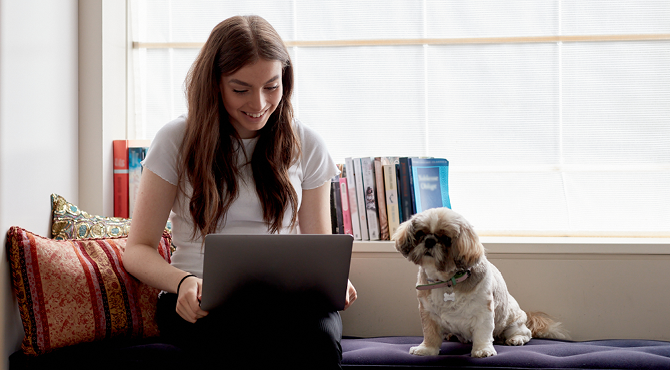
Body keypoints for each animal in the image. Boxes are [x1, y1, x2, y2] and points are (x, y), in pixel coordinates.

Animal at [396, 207, 568, 356]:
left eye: (446, 239)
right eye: (420, 233)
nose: (430, 241)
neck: (446, 280)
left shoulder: (483, 312)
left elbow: (482, 333)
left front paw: (482, 350)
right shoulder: (428, 313)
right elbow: (430, 334)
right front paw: (426, 350)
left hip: (512, 321)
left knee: (525, 333)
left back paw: (515, 339)